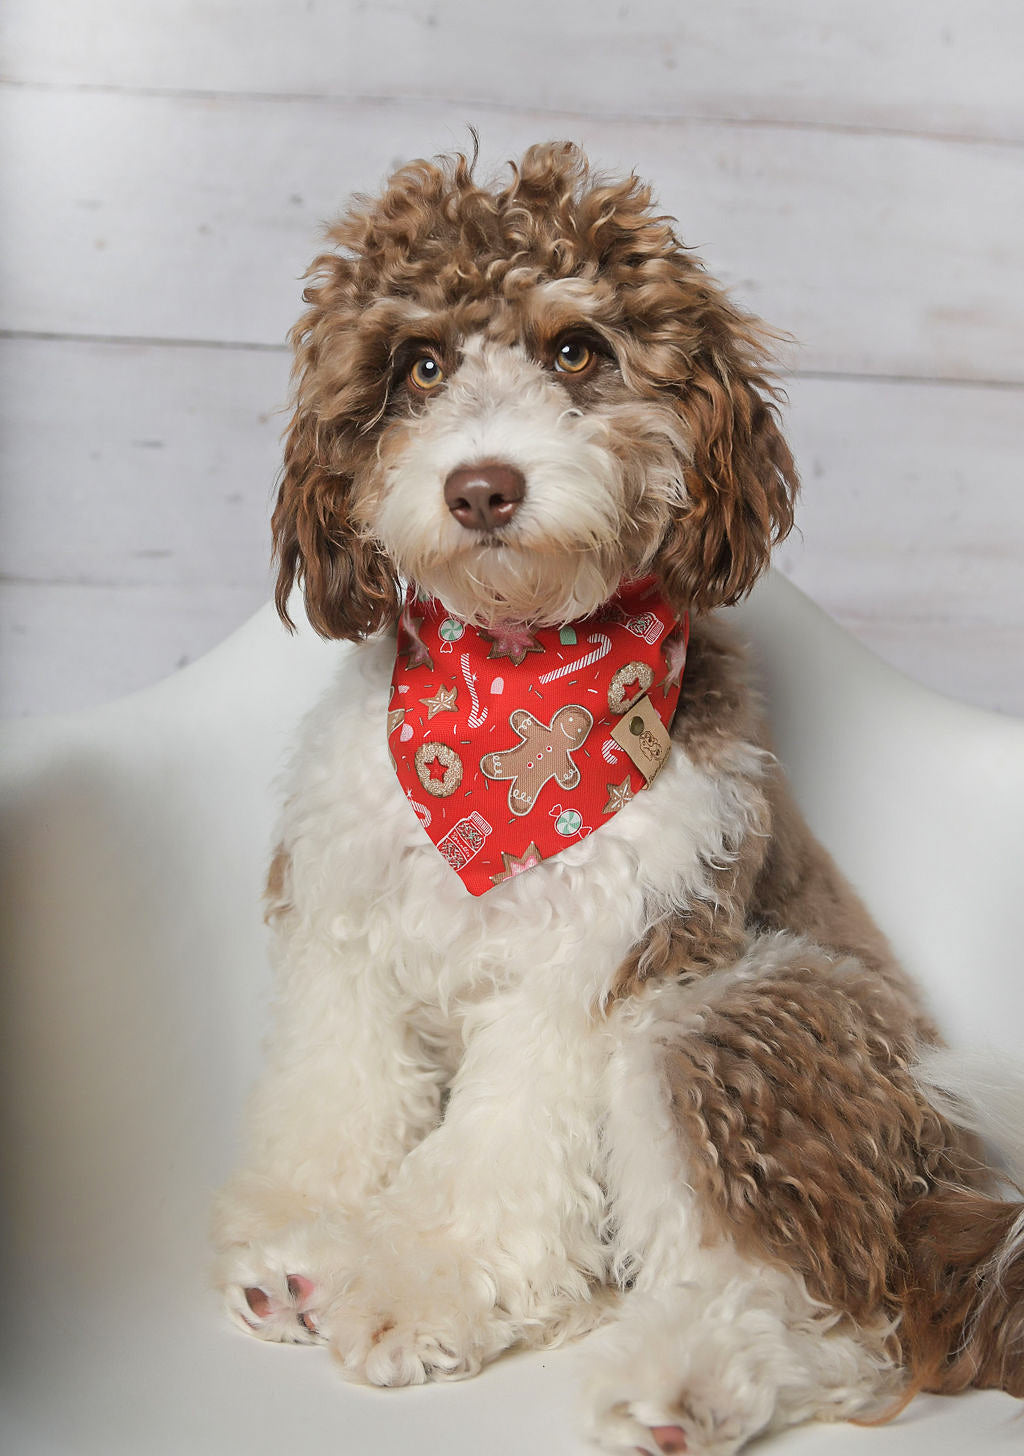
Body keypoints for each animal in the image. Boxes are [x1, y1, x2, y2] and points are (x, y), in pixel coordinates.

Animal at [209, 144, 1024, 1456]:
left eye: (576, 350)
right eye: (419, 364)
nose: (483, 487)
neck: (513, 695)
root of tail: (953, 1199)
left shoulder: (608, 956)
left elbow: (497, 1151)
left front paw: (416, 1281)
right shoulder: (346, 916)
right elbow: (339, 1087)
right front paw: (301, 1228)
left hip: (745, 1017)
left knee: (832, 1311)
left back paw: (682, 1381)